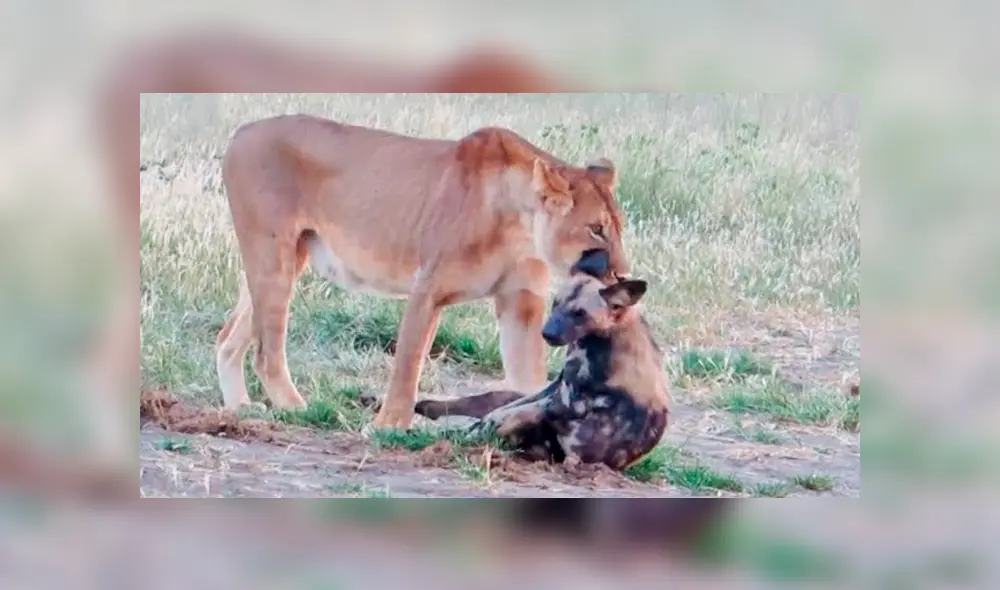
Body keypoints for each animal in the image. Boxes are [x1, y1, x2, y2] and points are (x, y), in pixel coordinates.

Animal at [214, 114, 630, 429]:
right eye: (596, 229)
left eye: (619, 227)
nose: (623, 275)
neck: (522, 228)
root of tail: (243, 131)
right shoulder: (427, 288)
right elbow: (408, 365)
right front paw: (387, 428)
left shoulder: (522, 303)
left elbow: (526, 380)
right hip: (273, 255)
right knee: (266, 352)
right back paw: (301, 410)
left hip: (285, 258)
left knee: (228, 337)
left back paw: (240, 408)